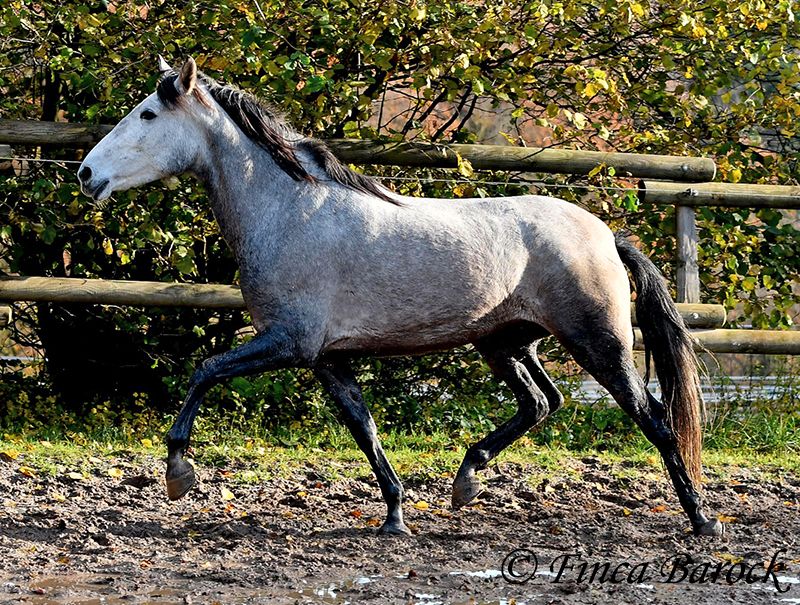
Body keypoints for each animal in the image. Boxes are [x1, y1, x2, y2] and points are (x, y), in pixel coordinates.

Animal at [76, 56, 724, 536]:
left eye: (148, 113)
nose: (86, 174)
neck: (290, 213)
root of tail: (607, 235)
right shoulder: (328, 358)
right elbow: (365, 430)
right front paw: (394, 516)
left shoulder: (289, 343)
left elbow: (204, 371)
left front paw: (178, 473)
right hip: (505, 343)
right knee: (543, 402)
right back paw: (467, 480)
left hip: (598, 342)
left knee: (654, 419)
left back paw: (702, 522)